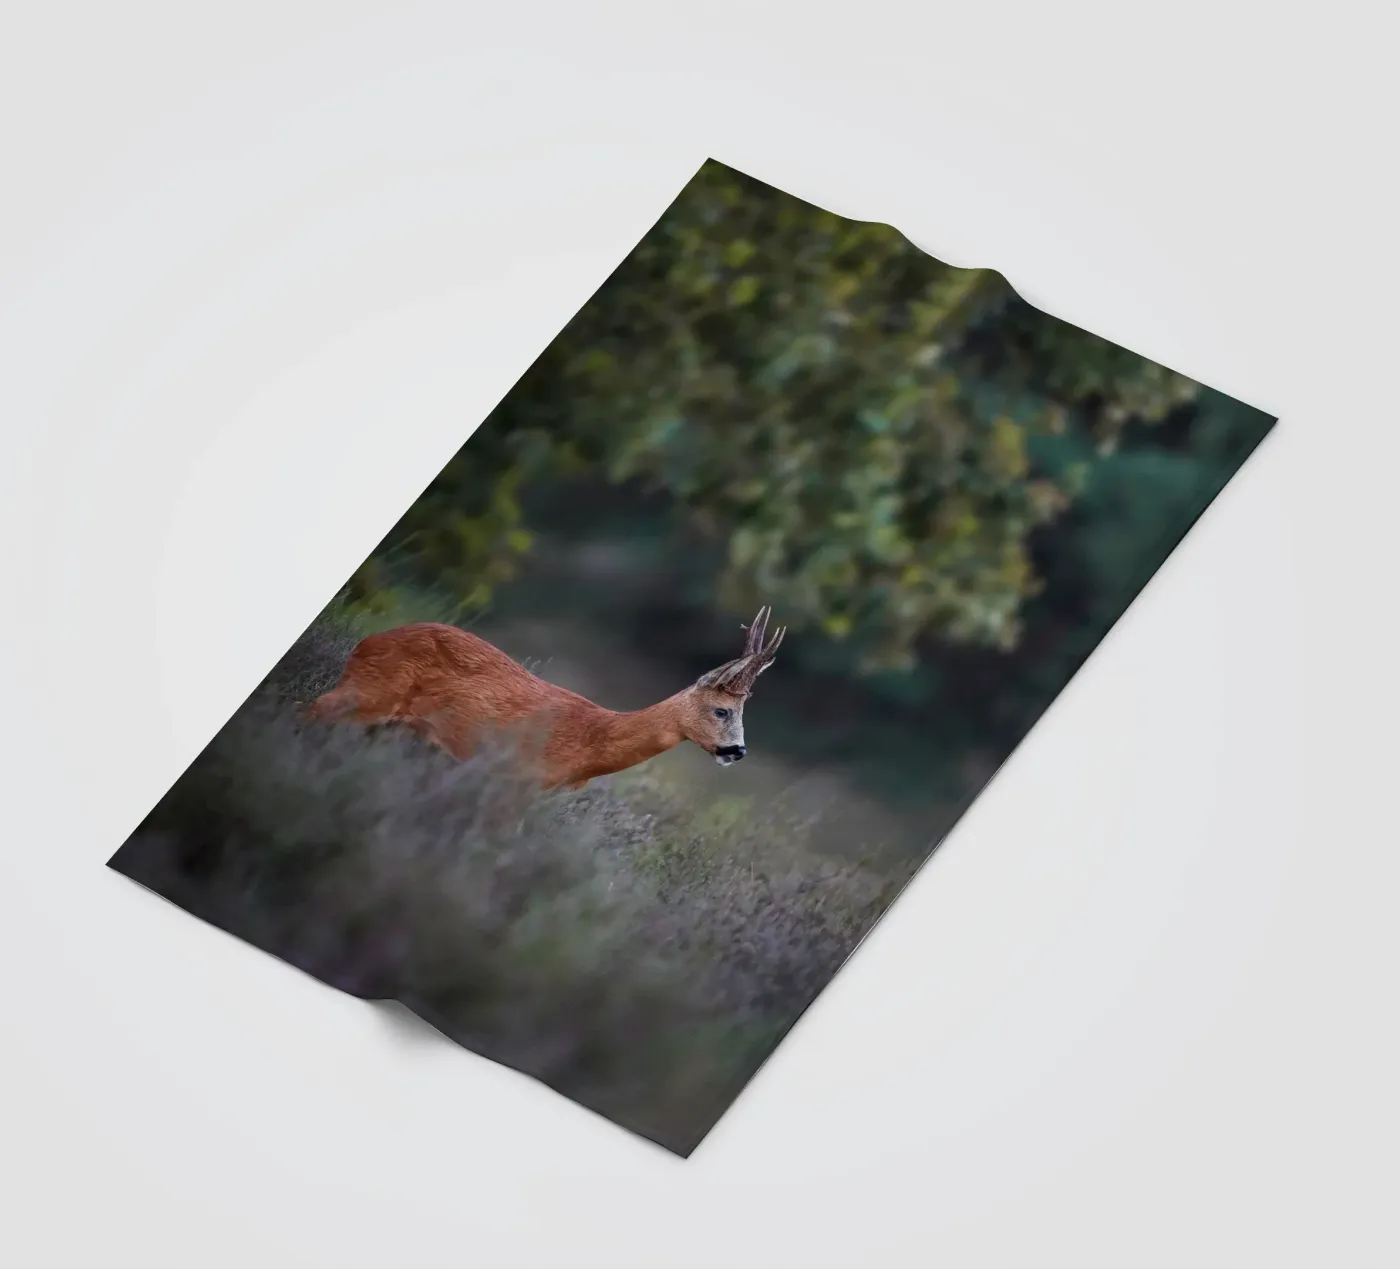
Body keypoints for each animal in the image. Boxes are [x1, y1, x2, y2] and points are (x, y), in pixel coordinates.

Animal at [302, 606, 786, 790]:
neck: (591, 740)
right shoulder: (511, 776)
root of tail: (367, 641)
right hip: (369, 695)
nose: (737, 750)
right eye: (722, 709)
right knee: (309, 710)